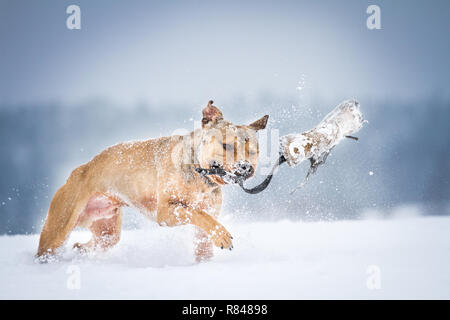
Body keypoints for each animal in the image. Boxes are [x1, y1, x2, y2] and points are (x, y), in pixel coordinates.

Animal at [37, 100, 268, 262]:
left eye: (254, 151)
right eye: (227, 146)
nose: (246, 167)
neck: (200, 175)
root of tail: (82, 168)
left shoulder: (206, 216)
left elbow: (203, 233)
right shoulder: (166, 212)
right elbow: (197, 213)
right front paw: (221, 234)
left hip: (107, 230)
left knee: (100, 242)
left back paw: (80, 250)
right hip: (58, 229)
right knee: (48, 249)